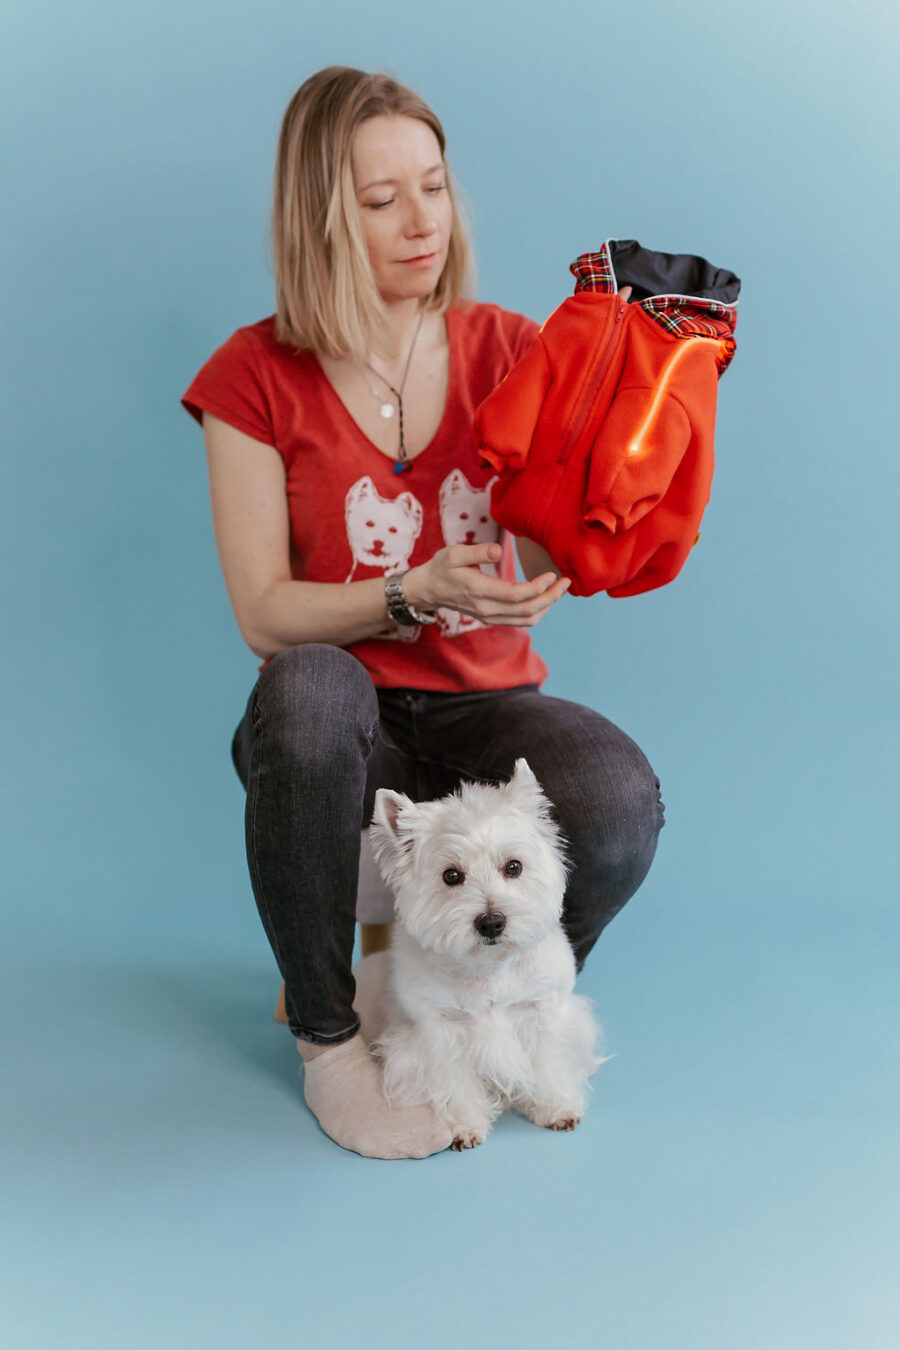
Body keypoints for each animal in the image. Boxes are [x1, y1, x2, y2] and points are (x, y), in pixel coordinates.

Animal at [367, 761, 604, 1150]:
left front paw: (556, 1107)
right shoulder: (437, 1030)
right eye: (451, 875)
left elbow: (548, 1062)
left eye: (514, 867)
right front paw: (465, 1125)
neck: (488, 970)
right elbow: (454, 1080)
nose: (491, 922)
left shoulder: (541, 1011)